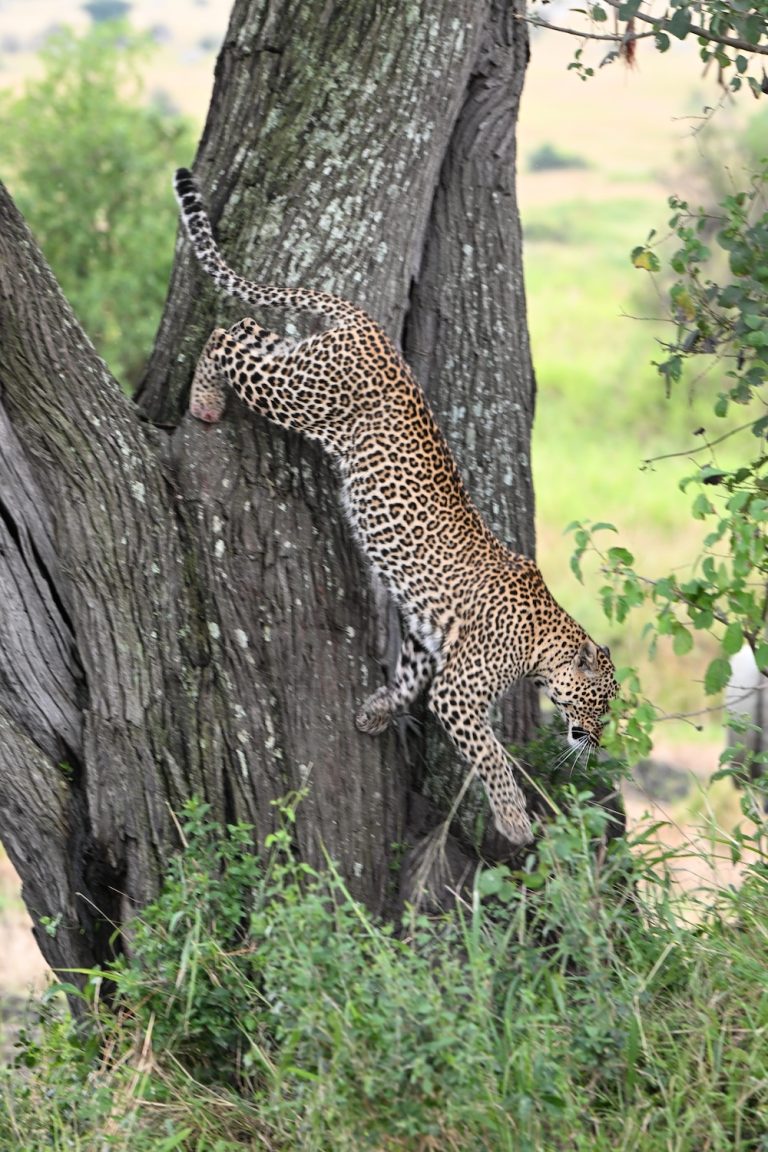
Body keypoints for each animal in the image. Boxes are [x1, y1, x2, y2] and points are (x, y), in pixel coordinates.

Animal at [173, 167, 618, 848]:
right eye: (600, 706)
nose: (594, 743)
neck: (543, 641)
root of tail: (371, 326)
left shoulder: (424, 641)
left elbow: (408, 685)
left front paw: (374, 713)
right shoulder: (458, 692)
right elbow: (490, 753)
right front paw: (515, 820)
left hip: (299, 367)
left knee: (248, 330)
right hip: (298, 395)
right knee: (226, 337)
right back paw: (203, 402)